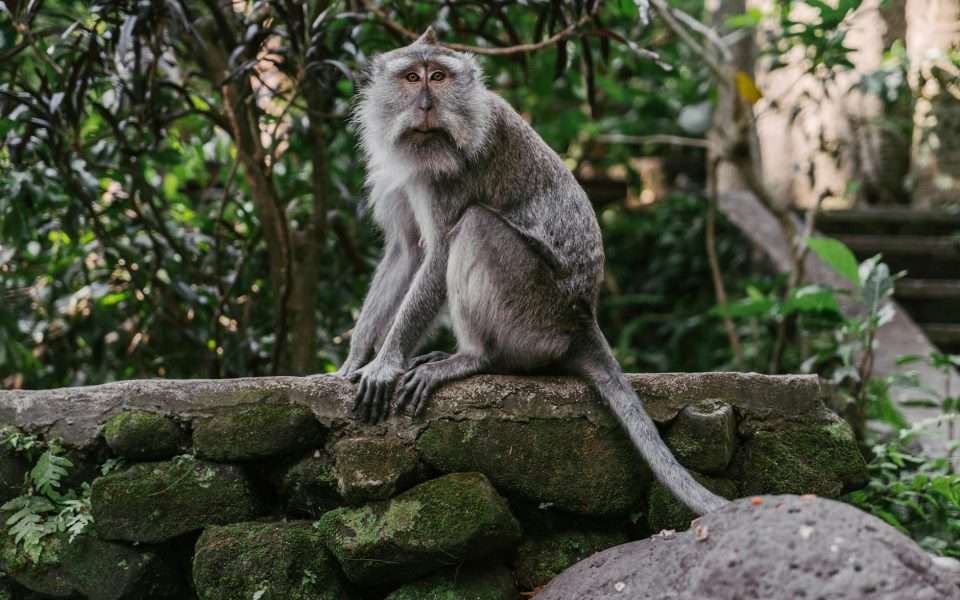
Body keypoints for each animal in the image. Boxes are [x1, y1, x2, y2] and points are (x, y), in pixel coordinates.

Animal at [336, 27, 727, 516]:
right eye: (412, 77)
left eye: (439, 77)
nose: (426, 104)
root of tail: (582, 320)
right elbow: (406, 252)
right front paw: (355, 359)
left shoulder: (448, 175)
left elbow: (439, 253)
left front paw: (386, 364)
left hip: (531, 311)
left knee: (476, 225)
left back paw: (472, 358)